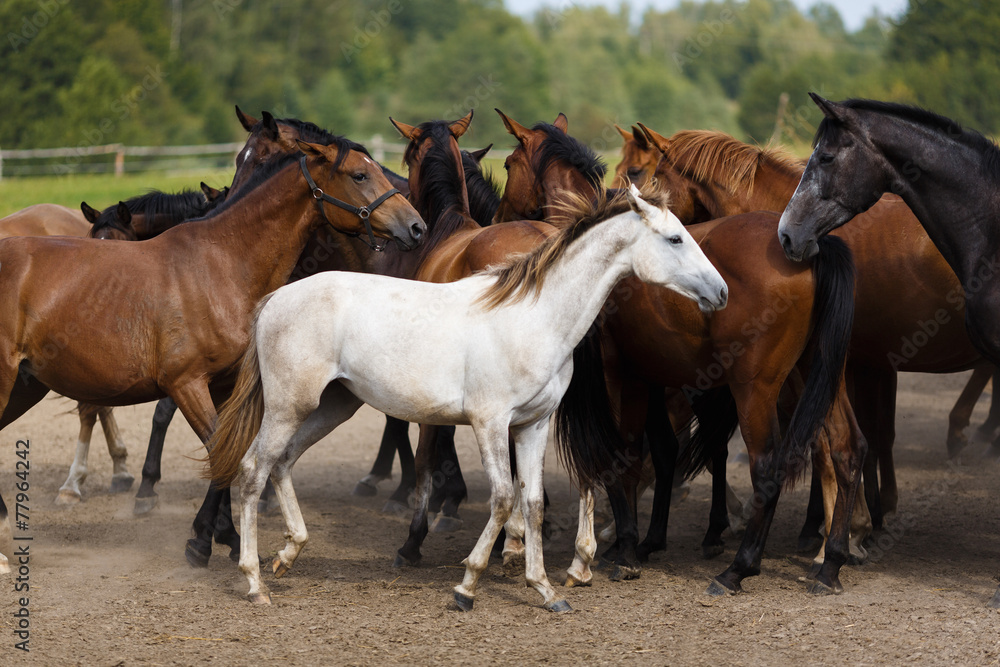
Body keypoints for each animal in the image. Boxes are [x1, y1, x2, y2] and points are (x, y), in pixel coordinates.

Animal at [0, 139, 424, 575]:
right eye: (359, 174)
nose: (416, 226)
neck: (221, 263)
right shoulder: (187, 385)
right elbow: (224, 453)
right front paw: (209, 543)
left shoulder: (225, 386)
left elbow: (230, 455)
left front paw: (221, 537)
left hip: (24, 387)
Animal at [206, 186, 728, 610]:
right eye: (675, 239)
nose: (721, 292)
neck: (534, 317)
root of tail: (275, 300)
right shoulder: (490, 421)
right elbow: (502, 497)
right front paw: (468, 586)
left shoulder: (534, 425)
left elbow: (532, 501)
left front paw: (545, 590)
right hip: (287, 407)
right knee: (252, 471)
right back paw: (255, 582)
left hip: (331, 405)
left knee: (282, 462)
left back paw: (287, 554)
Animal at [496, 114, 865, 597]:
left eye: (508, 163)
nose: (497, 219)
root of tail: (808, 249)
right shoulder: (650, 378)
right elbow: (656, 451)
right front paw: (640, 541)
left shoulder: (619, 377)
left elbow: (622, 456)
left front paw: (620, 550)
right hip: (819, 376)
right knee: (846, 448)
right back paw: (831, 563)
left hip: (756, 390)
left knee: (768, 468)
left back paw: (739, 568)